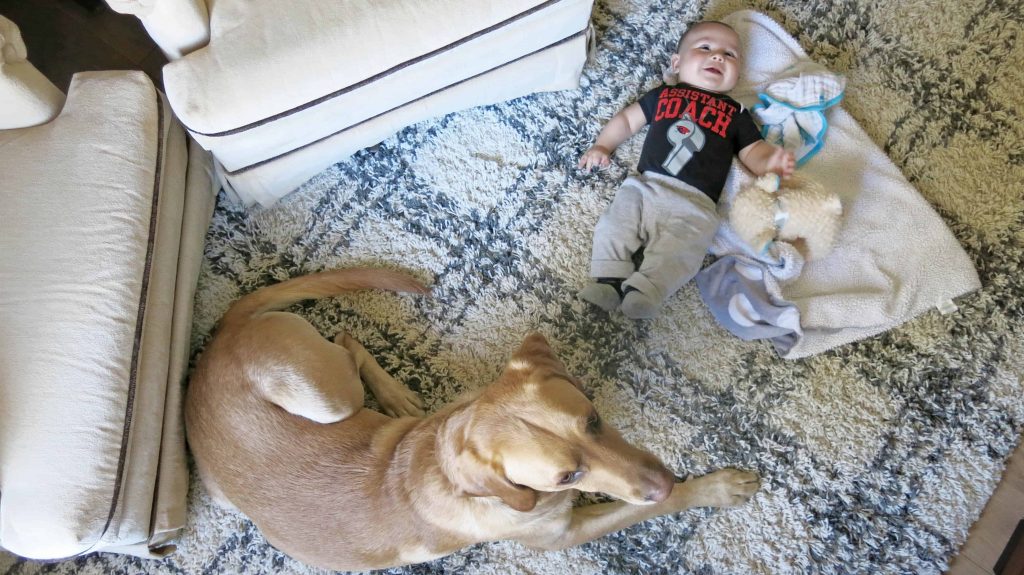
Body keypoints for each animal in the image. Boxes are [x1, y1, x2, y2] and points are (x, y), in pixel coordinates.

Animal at [186, 268, 761, 568]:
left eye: (595, 420)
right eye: (566, 476)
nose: (662, 480)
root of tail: (219, 335)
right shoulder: (565, 533)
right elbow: (646, 509)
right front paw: (713, 489)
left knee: (348, 338)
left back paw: (397, 396)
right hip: (323, 397)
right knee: (347, 340)